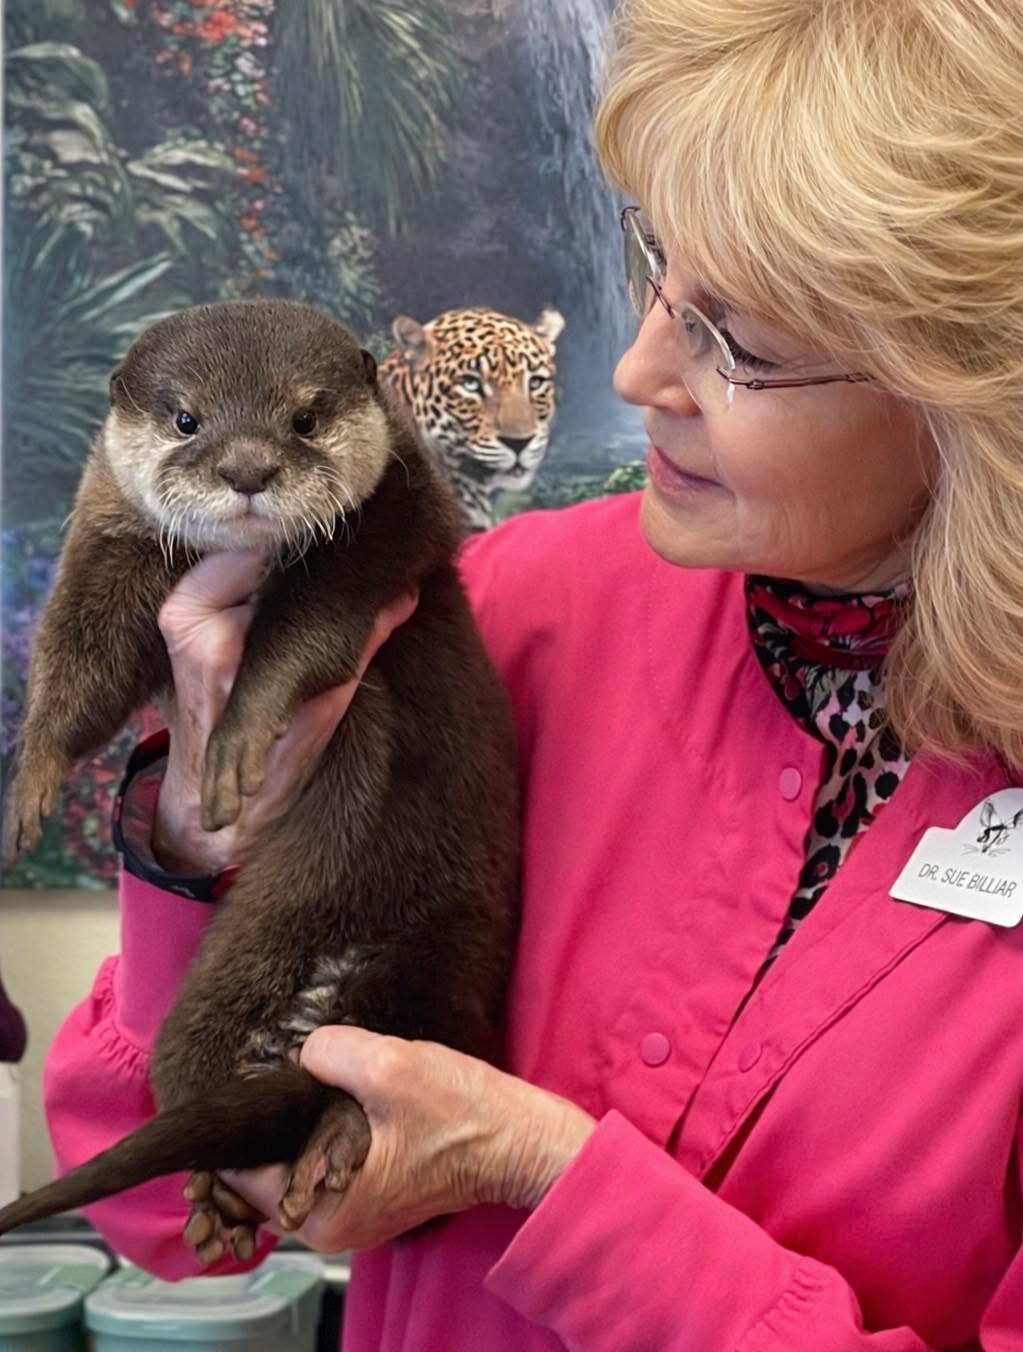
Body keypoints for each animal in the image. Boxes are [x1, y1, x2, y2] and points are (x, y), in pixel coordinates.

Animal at [1, 299, 519, 1262]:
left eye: (305, 418)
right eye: (186, 418)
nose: (247, 468)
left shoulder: (388, 530)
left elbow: (304, 632)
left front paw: (238, 735)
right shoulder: (108, 537)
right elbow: (80, 656)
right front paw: (30, 780)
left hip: (447, 953)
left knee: (427, 1044)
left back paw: (341, 1132)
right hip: (210, 1008)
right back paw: (221, 1200)